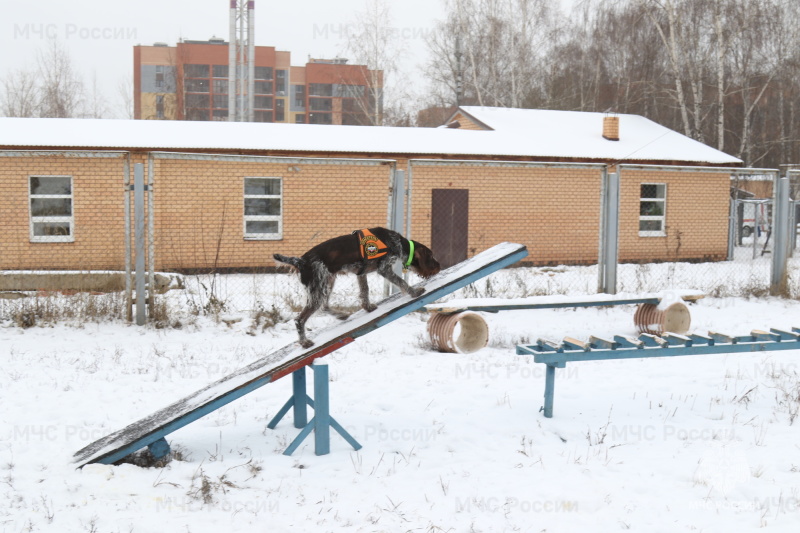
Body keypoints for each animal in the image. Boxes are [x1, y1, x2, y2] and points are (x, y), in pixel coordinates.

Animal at [274, 227, 438, 348]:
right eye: (431, 256)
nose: (439, 265)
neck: (395, 242)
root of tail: (301, 261)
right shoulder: (384, 269)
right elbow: (401, 282)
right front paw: (414, 292)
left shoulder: (362, 273)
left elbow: (365, 291)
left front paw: (368, 307)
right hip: (319, 289)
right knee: (299, 319)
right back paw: (304, 342)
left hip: (327, 283)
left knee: (325, 306)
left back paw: (341, 315)